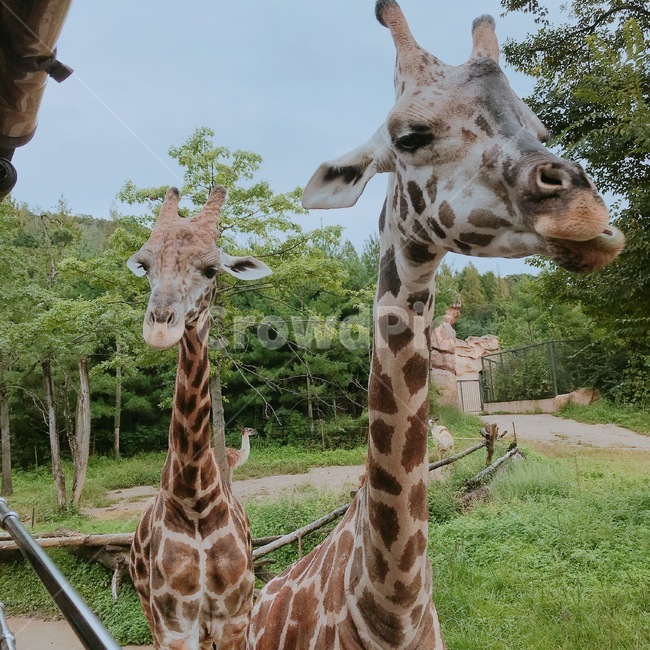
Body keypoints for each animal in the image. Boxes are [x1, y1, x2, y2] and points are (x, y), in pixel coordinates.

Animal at [127, 186, 271, 650]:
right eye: (145, 264)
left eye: (211, 269)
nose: (160, 328)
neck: (193, 500)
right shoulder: (175, 625)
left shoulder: (234, 618)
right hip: (151, 614)